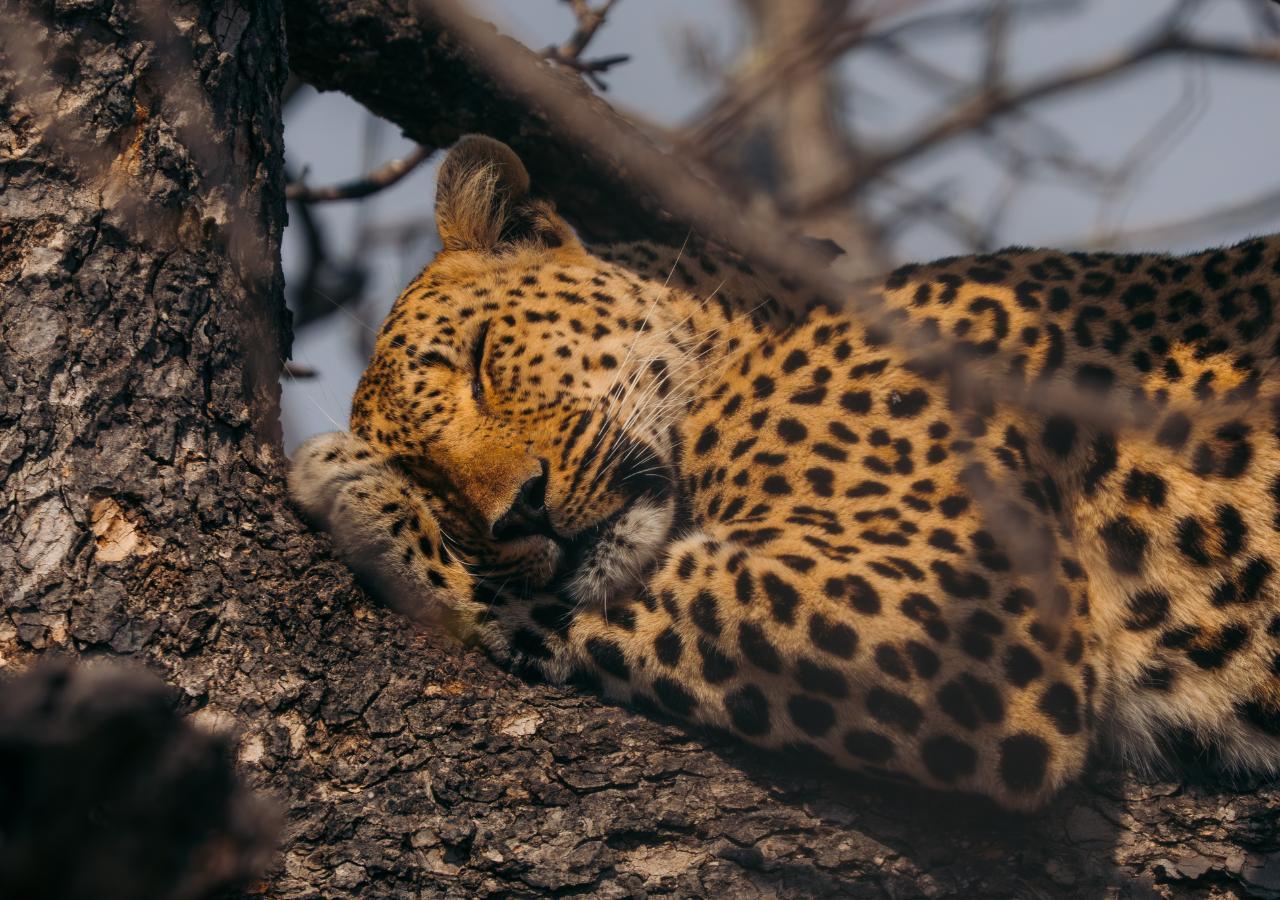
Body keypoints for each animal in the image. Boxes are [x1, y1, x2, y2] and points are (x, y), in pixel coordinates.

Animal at [289, 135, 1280, 811]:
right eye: (435, 476)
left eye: (483, 359)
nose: (517, 513)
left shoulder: (966, 607)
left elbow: (645, 594)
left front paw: (359, 496)